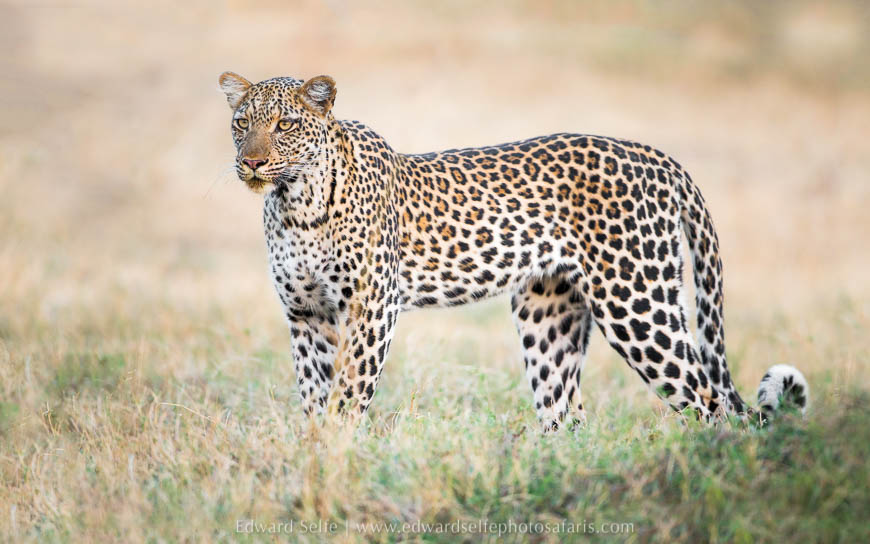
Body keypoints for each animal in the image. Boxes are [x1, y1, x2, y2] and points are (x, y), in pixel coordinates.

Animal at [217, 71, 809, 431]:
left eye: (286, 125)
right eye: (242, 123)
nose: (250, 162)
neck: (295, 202)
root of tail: (657, 157)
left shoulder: (370, 309)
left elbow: (347, 396)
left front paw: (338, 456)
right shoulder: (306, 313)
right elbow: (314, 397)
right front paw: (314, 453)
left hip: (639, 304)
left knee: (715, 404)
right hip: (548, 314)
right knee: (567, 418)